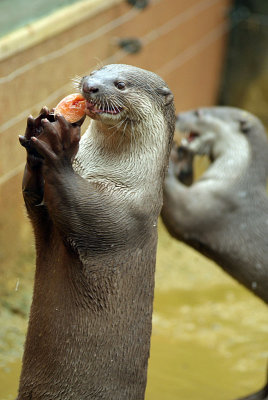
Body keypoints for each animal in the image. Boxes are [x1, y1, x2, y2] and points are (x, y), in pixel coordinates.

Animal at [17, 65, 176, 400]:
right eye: (96, 71)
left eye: (120, 84)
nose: (90, 86)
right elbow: (32, 198)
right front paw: (37, 134)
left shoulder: (125, 212)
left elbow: (83, 207)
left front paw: (58, 146)